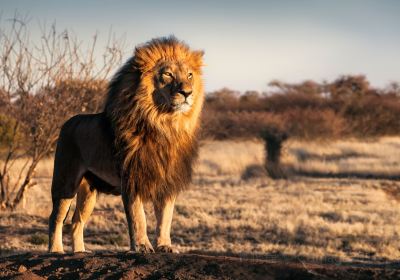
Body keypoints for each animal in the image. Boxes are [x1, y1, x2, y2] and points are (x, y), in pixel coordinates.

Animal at [48, 36, 205, 253]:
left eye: (190, 75)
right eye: (168, 74)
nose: (187, 92)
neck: (164, 124)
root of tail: (67, 122)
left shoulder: (167, 181)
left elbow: (165, 218)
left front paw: (165, 245)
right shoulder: (131, 178)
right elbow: (139, 217)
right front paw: (142, 246)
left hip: (89, 190)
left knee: (76, 221)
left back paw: (80, 252)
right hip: (66, 182)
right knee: (56, 218)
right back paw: (56, 250)